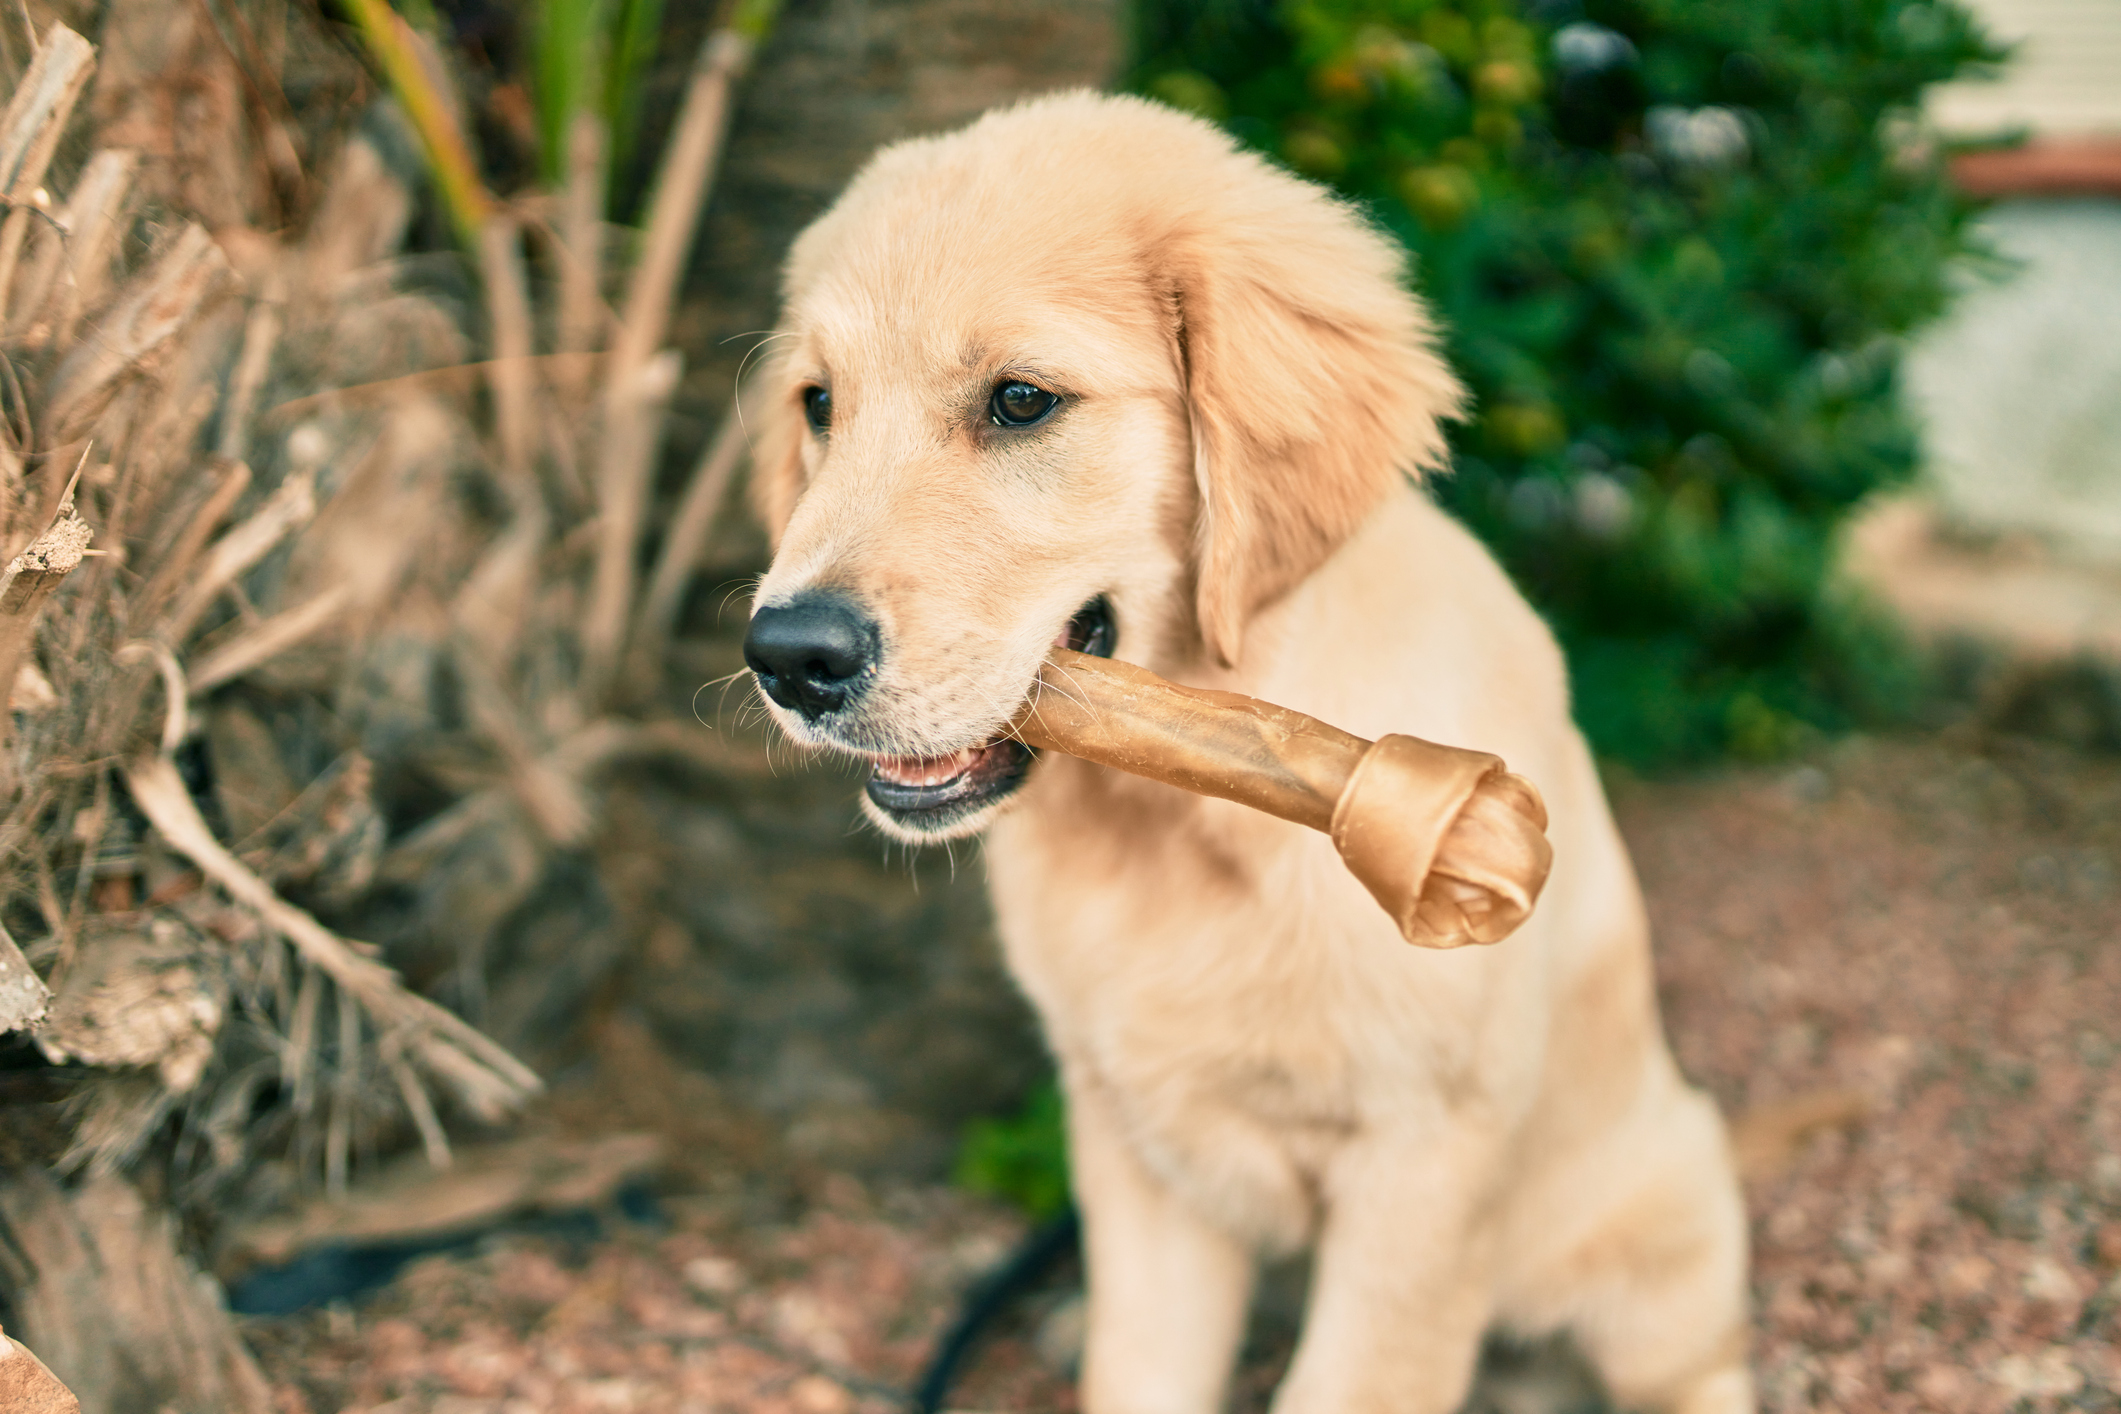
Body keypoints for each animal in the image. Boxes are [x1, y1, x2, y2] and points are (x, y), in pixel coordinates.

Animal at [738, 91, 1747, 1414]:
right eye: (820, 405)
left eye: (1021, 401)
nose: (786, 657)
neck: (1182, 815)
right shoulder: (1137, 1147)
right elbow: (1140, 1367)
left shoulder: (1422, 1173)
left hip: (1669, 1207)